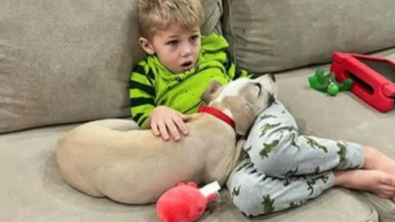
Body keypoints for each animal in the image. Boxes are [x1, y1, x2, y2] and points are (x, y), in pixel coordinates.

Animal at [56, 74, 278, 205]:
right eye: (257, 87)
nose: (273, 75)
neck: (220, 113)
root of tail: (61, 142)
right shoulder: (220, 171)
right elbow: (240, 145)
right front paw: (245, 138)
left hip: (119, 124)